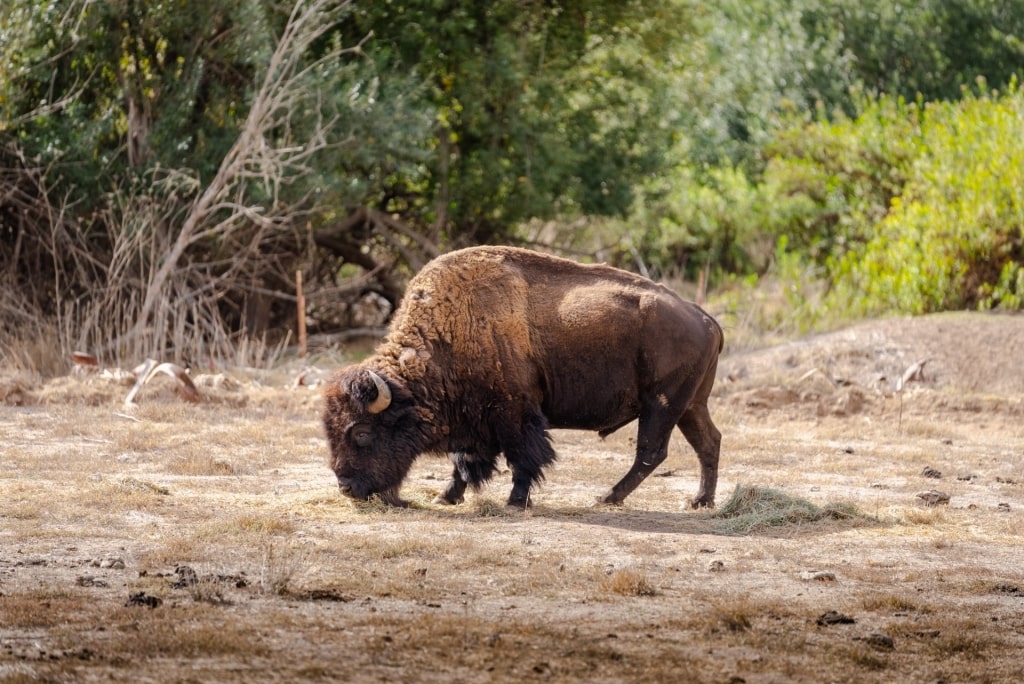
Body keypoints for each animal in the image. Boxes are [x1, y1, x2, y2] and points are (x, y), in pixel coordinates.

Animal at [323, 245, 724, 507]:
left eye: (361, 432)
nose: (346, 487)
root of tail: (704, 318)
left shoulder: (514, 413)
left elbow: (523, 458)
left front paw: (515, 501)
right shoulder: (474, 420)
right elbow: (465, 462)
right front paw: (446, 497)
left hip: (661, 405)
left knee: (651, 452)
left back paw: (607, 497)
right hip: (690, 406)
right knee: (708, 442)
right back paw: (699, 501)